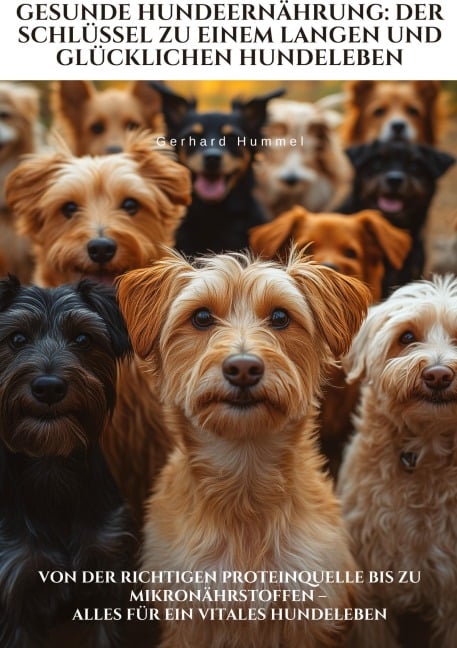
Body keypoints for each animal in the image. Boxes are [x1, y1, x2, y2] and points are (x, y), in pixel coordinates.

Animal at [0, 278, 134, 648]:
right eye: (17, 338)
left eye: (83, 339)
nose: (48, 387)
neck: (51, 465)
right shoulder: (16, 586)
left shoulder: (105, 572)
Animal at [116, 249, 370, 648]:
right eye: (201, 317)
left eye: (280, 317)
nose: (243, 367)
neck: (244, 480)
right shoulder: (189, 616)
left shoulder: (309, 609)